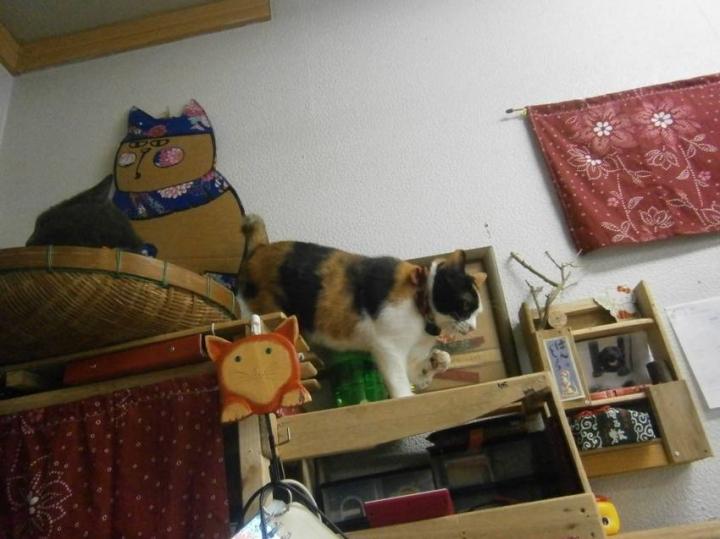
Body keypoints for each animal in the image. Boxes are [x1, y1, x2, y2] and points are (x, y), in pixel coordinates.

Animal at [238, 215, 486, 399]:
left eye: (477, 313)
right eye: (465, 305)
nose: (473, 328)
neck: (420, 301)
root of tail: (260, 249)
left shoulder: (409, 356)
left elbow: (422, 370)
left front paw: (437, 361)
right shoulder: (388, 347)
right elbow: (399, 381)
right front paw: (405, 399)